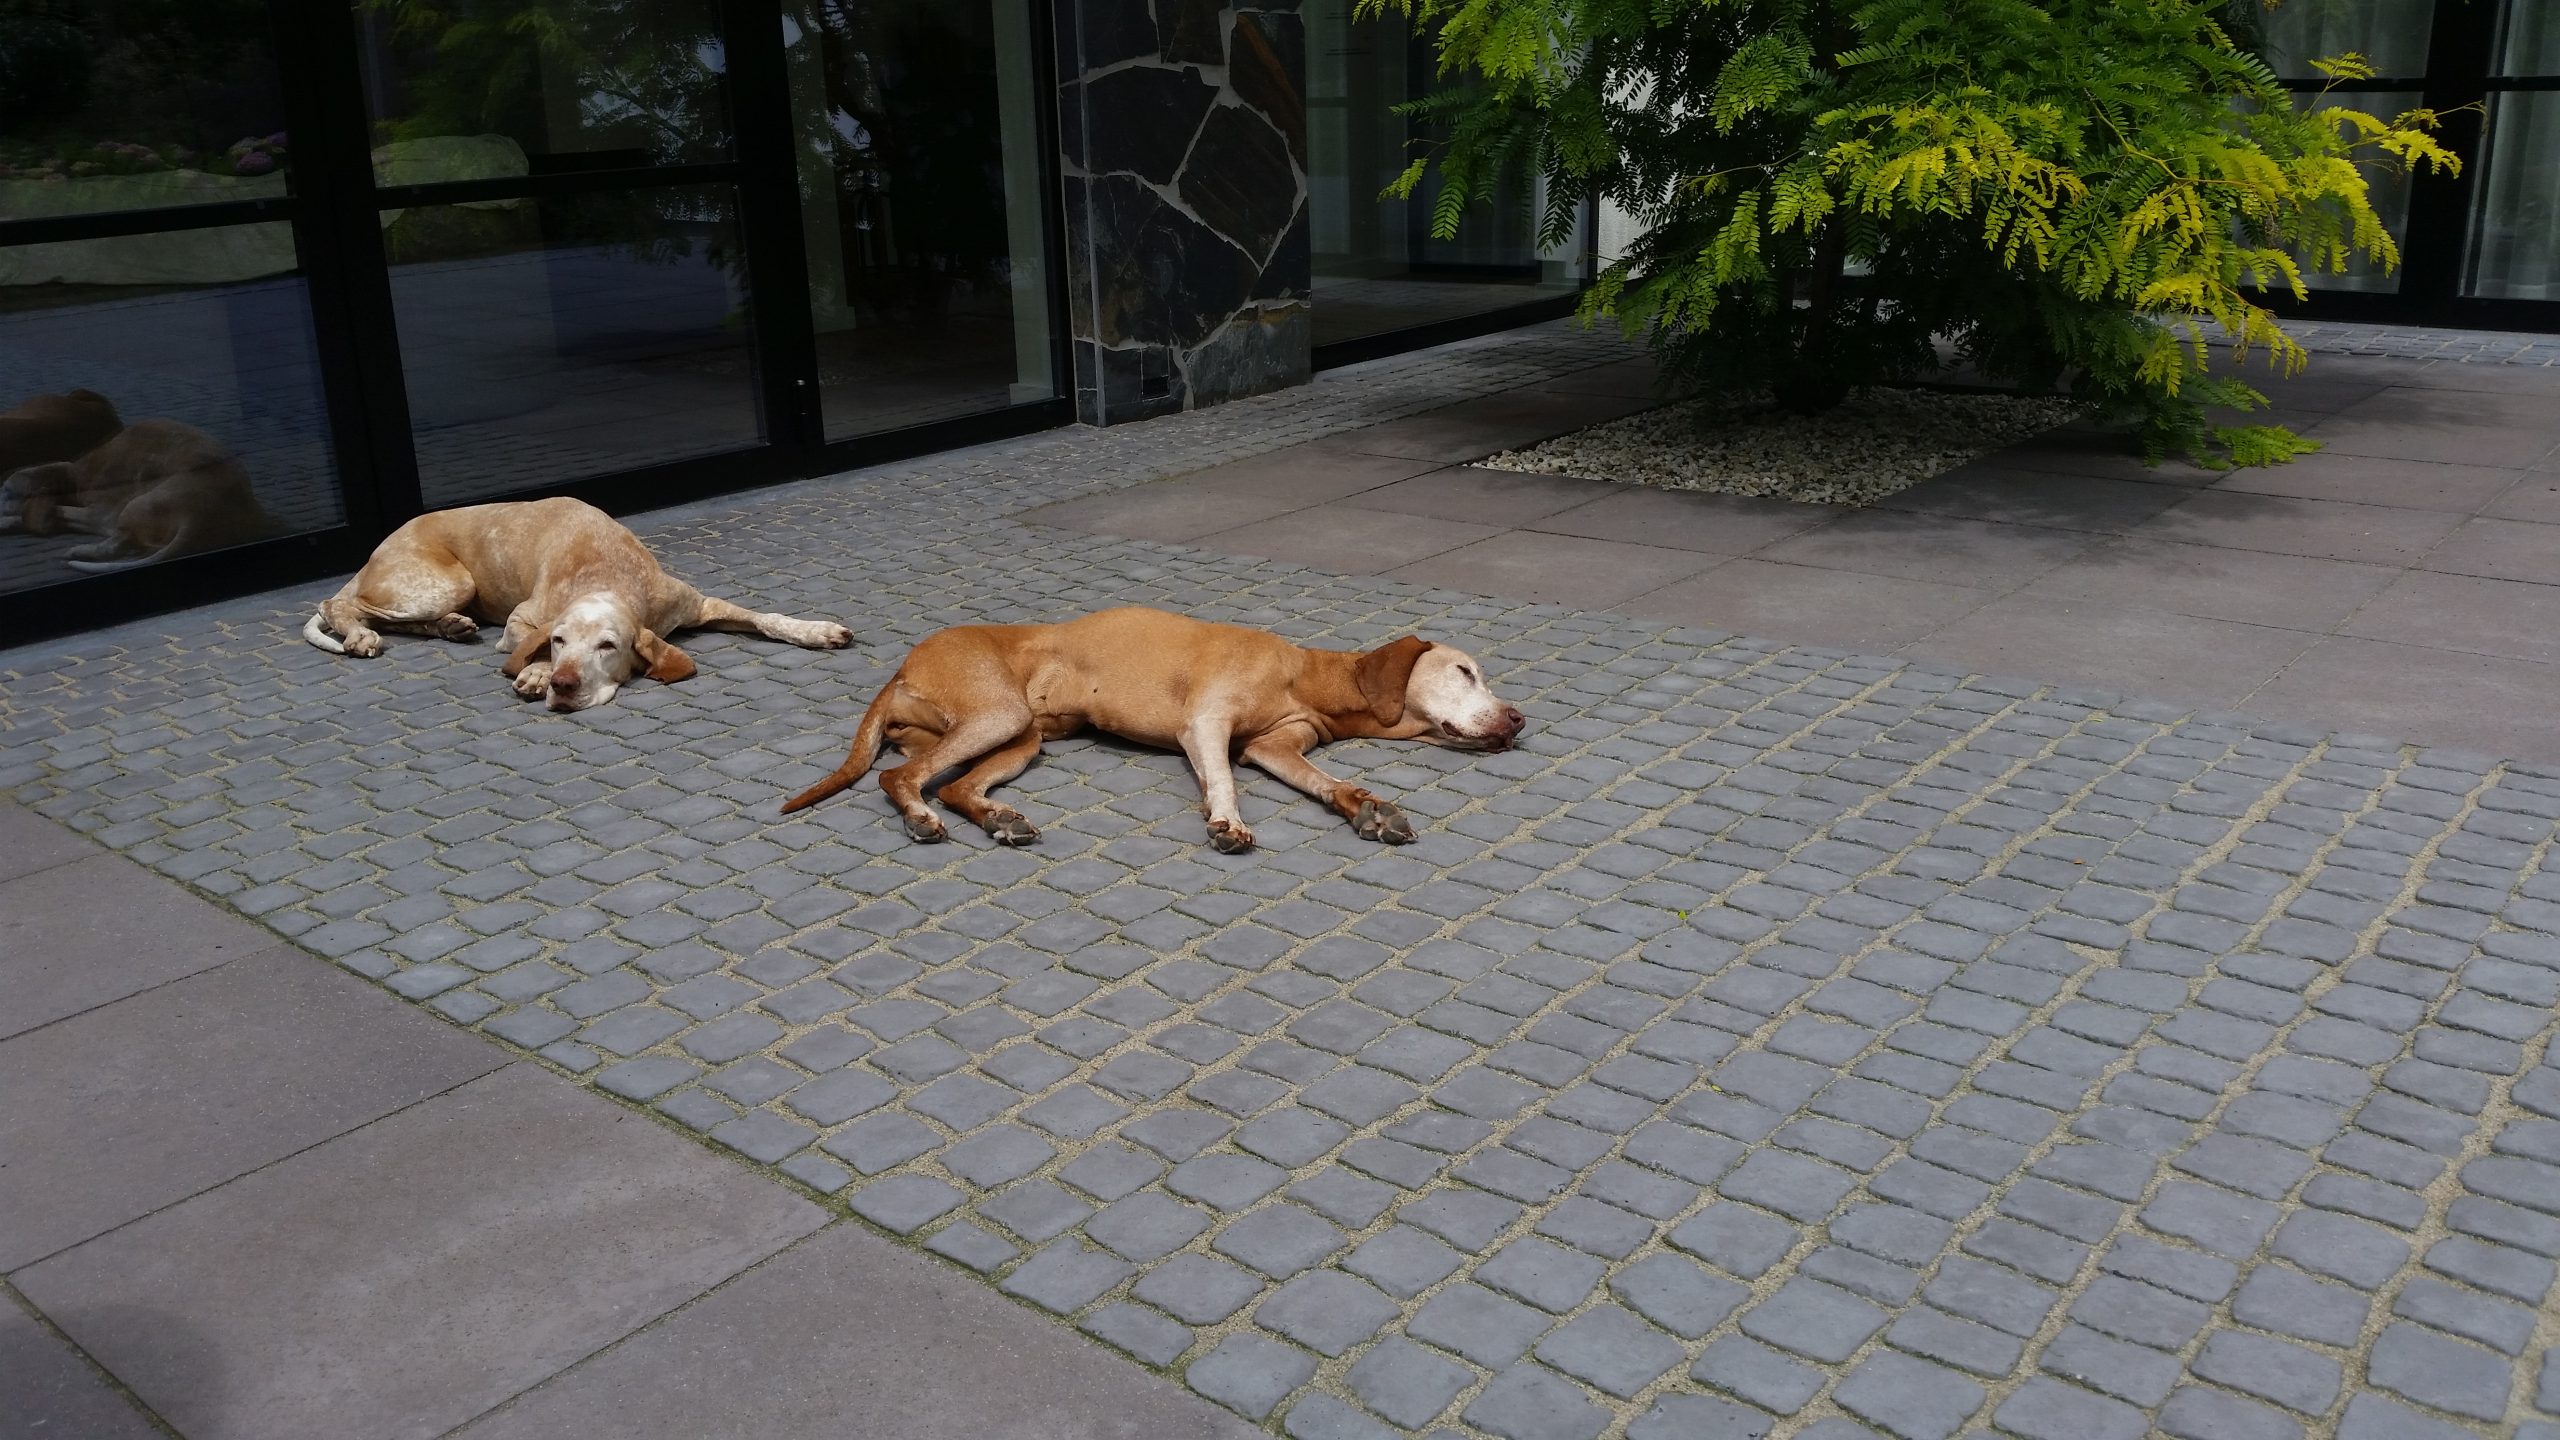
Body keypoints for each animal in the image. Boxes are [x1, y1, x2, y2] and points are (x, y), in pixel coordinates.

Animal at [0, 412, 277, 568]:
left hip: (137, 503)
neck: (73, 476)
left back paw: (78, 550)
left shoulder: (101, 512)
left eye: (6, 492)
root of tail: (199, 517)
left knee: (115, 542)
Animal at [302, 497, 849, 707]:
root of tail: (373, 553)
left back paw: (451, 627)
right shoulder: (520, 623)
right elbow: (528, 642)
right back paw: (360, 634)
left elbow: (769, 618)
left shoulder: (700, 605)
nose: (564, 683)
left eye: (608, 646)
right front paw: (537, 673)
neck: (609, 578)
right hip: (445, 581)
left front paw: (815, 630)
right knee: (335, 606)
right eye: (561, 641)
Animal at [768, 602, 1505, 845]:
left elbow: (1327, 783)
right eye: (1466, 671)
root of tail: (900, 667)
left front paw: (1366, 808)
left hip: (1021, 736)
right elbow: (1222, 782)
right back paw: (921, 819)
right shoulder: (1206, 723)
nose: (1518, 718)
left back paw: (996, 819)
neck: (1307, 674)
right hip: (1000, 713)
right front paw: (1226, 821)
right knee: (901, 779)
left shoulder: (1275, 748)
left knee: (952, 785)